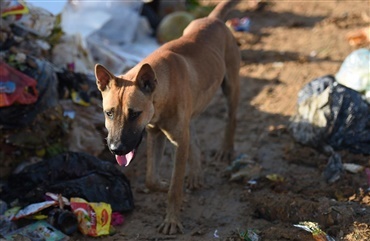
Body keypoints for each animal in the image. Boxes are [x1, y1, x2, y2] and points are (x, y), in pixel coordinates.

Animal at [94, 0, 241, 233]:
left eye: (134, 114)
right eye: (109, 113)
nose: (115, 149)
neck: (162, 87)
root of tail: (213, 18)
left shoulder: (178, 143)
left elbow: (175, 187)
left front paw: (172, 219)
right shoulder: (155, 135)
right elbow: (151, 180)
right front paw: (163, 186)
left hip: (231, 87)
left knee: (231, 119)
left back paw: (226, 149)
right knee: (195, 138)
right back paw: (196, 173)